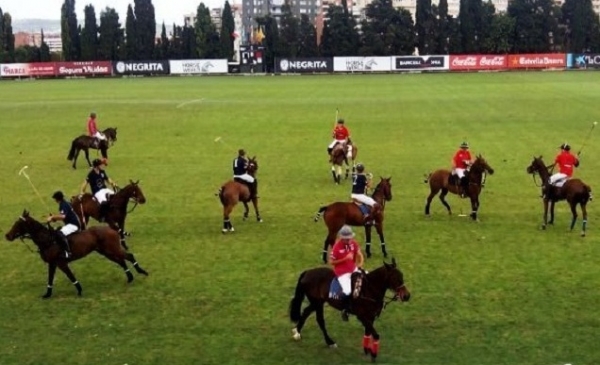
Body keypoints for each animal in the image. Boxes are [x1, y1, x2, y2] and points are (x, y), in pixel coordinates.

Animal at [4, 209, 149, 298]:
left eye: (18, 223)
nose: (7, 236)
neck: (47, 240)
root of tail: (111, 228)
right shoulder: (52, 263)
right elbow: (50, 279)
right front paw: (47, 294)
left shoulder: (61, 263)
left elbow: (70, 276)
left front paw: (79, 290)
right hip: (106, 252)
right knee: (121, 260)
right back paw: (130, 278)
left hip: (112, 249)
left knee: (128, 256)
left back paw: (142, 272)